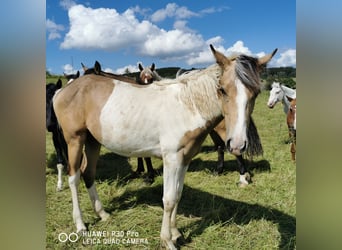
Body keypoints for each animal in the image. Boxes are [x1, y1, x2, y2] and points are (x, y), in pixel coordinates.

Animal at [54, 44, 278, 248]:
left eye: (256, 92)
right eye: (222, 89)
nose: (238, 144)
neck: (188, 106)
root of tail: (62, 91)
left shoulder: (184, 159)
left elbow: (177, 195)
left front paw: (177, 233)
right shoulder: (172, 158)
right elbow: (168, 199)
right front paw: (167, 240)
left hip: (93, 141)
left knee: (88, 173)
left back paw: (103, 214)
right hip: (75, 139)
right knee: (74, 177)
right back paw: (80, 225)